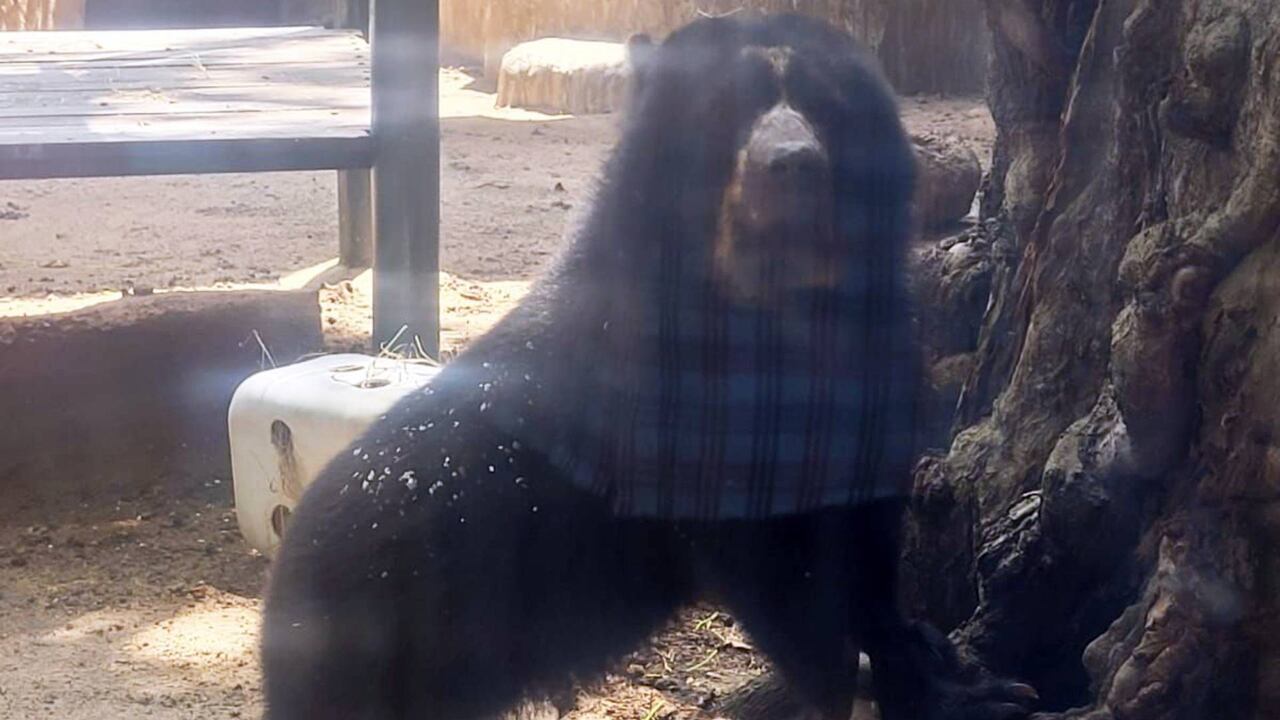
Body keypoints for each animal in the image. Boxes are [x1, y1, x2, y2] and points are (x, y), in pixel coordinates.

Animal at [261, 13, 1036, 720]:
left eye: (826, 105)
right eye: (728, 113)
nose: (793, 162)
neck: (778, 303)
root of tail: (283, 594)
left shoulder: (880, 365)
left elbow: (868, 544)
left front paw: (958, 681)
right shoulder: (673, 409)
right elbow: (778, 570)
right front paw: (857, 685)